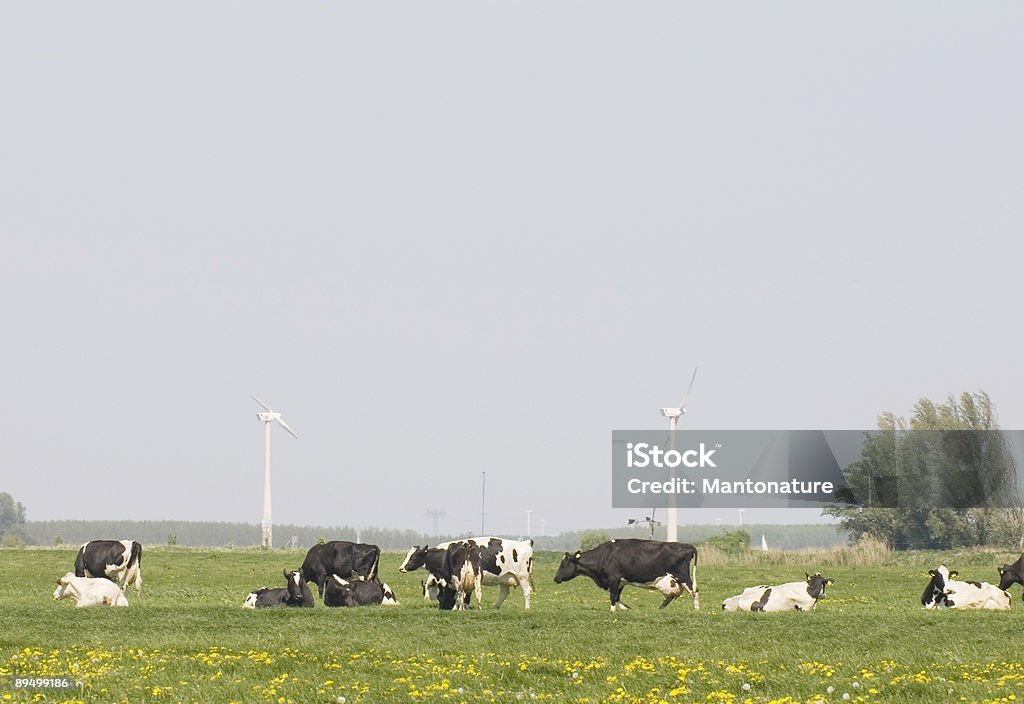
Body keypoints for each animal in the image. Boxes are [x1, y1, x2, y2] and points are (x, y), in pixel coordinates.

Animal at [397, 540, 536, 609]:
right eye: (407, 555)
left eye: (413, 557)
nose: (401, 568)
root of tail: (525, 543)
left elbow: (459, 594)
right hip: (505, 578)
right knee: (503, 593)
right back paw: (495, 607)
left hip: (522, 577)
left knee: (526, 592)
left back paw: (527, 608)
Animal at [557, 540, 700, 609]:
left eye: (563, 564)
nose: (555, 578)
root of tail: (687, 545)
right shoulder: (620, 581)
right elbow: (617, 597)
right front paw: (626, 609)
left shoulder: (613, 579)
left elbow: (612, 596)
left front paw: (612, 611)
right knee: (670, 597)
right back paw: (659, 609)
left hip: (683, 576)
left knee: (694, 590)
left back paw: (696, 609)